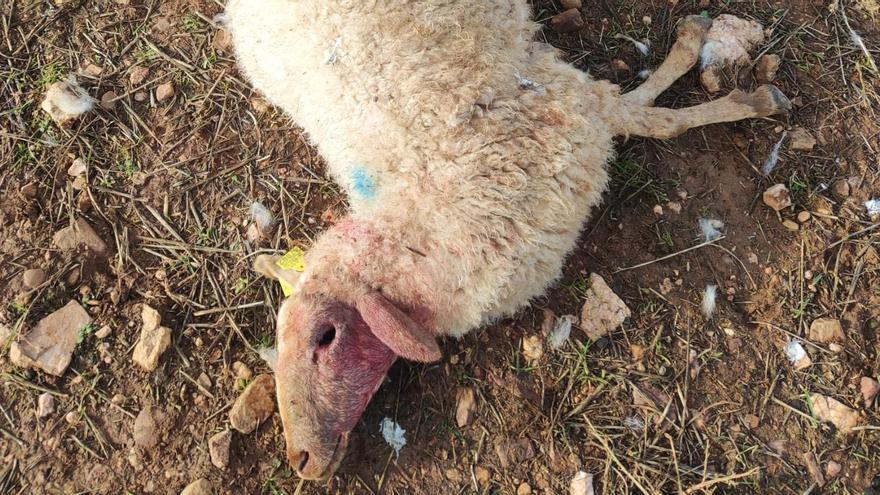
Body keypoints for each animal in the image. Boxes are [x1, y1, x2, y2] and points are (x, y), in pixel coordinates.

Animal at [223, 0, 788, 480]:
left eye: (326, 337)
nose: (301, 460)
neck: (426, 216)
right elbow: (652, 115)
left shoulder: (570, 111)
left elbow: (658, 119)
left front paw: (739, 87)